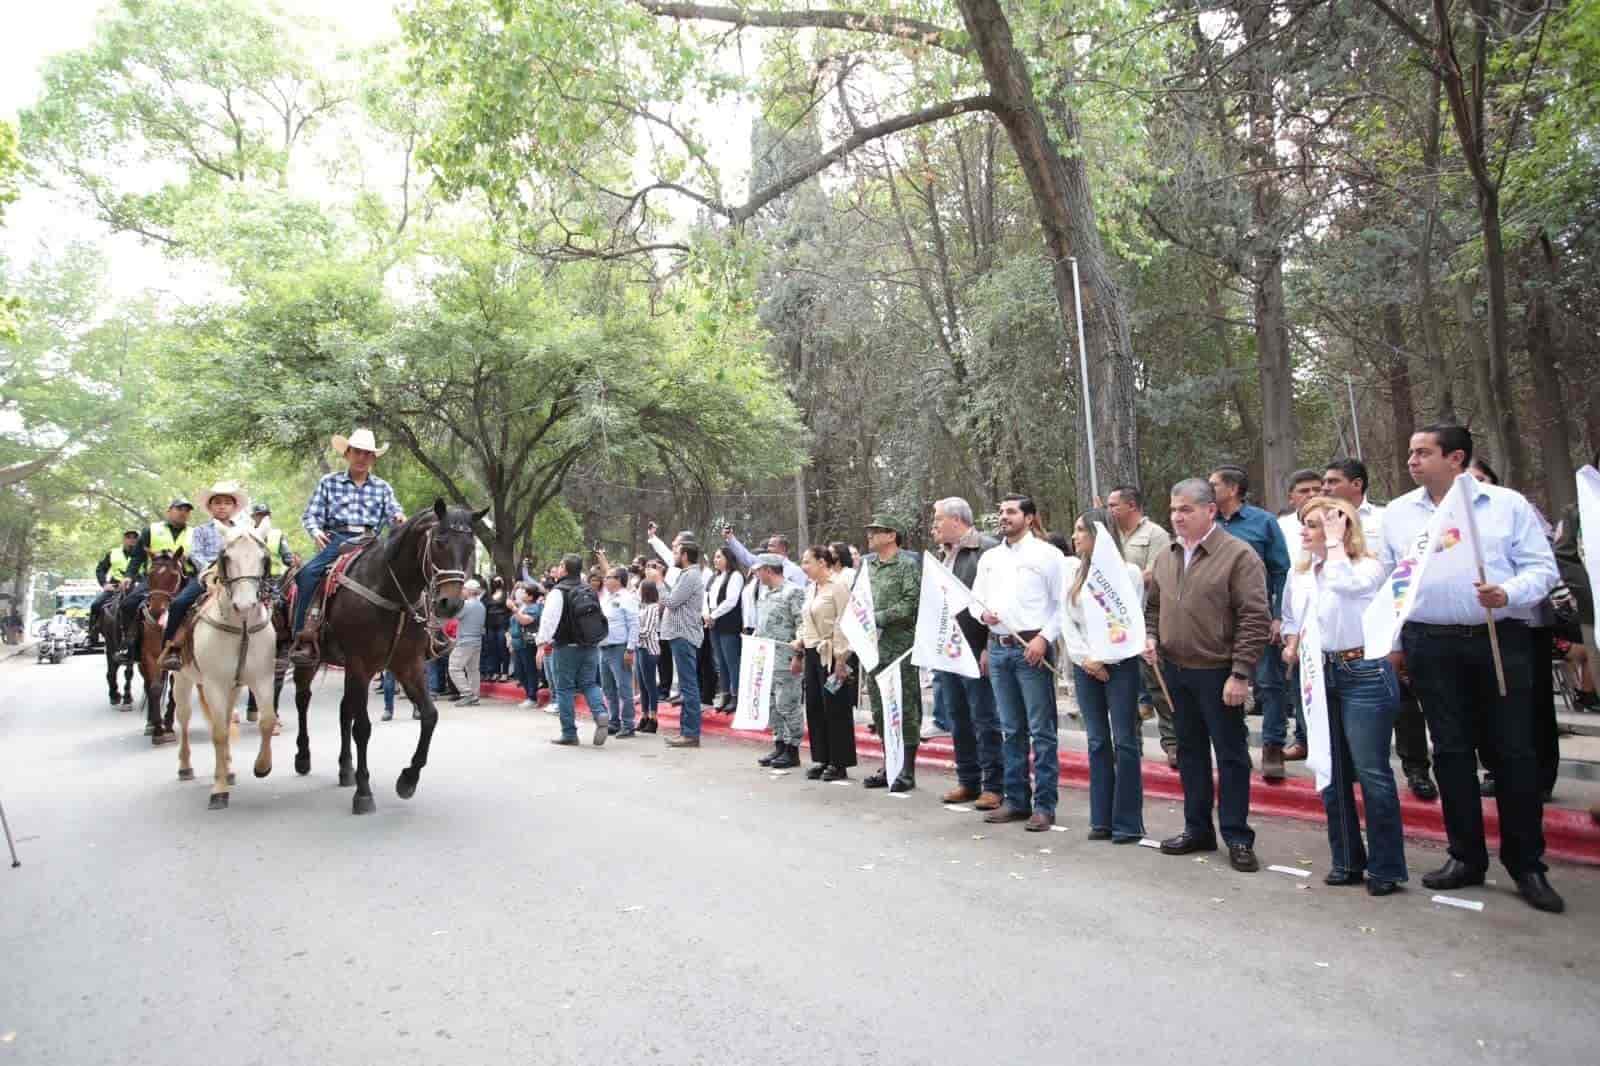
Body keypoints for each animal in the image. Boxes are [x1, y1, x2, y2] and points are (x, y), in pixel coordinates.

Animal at [174, 521, 278, 806]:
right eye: (227, 557)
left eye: (263, 558)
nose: (245, 604)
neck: (240, 627)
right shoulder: (214, 684)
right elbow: (219, 732)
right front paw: (218, 790)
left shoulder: (262, 679)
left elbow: (267, 721)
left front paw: (262, 766)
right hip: (182, 680)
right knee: (184, 719)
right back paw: (186, 767)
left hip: (233, 687)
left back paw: (229, 770)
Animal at [286, 499, 473, 813]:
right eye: (439, 541)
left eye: (471, 547)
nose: (451, 603)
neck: (390, 591)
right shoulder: (360, 664)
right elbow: (362, 728)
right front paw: (363, 793)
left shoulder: (407, 665)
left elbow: (430, 716)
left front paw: (408, 779)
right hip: (310, 661)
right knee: (303, 700)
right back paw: (303, 757)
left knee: (344, 710)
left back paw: (345, 769)